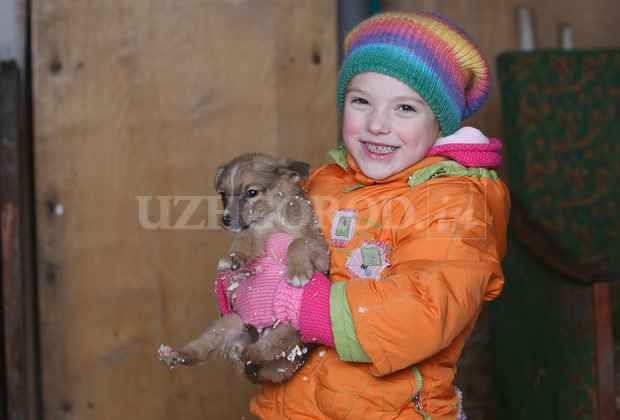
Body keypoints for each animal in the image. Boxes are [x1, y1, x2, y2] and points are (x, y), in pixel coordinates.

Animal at [159, 153, 330, 382]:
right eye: (223, 194)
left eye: (251, 192)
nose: (226, 220)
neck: (272, 218)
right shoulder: (255, 234)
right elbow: (243, 241)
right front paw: (232, 258)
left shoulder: (320, 250)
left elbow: (297, 243)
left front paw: (298, 271)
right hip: (227, 323)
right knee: (200, 351)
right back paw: (177, 354)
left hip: (289, 332)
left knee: (263, 352)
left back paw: (244, 351)